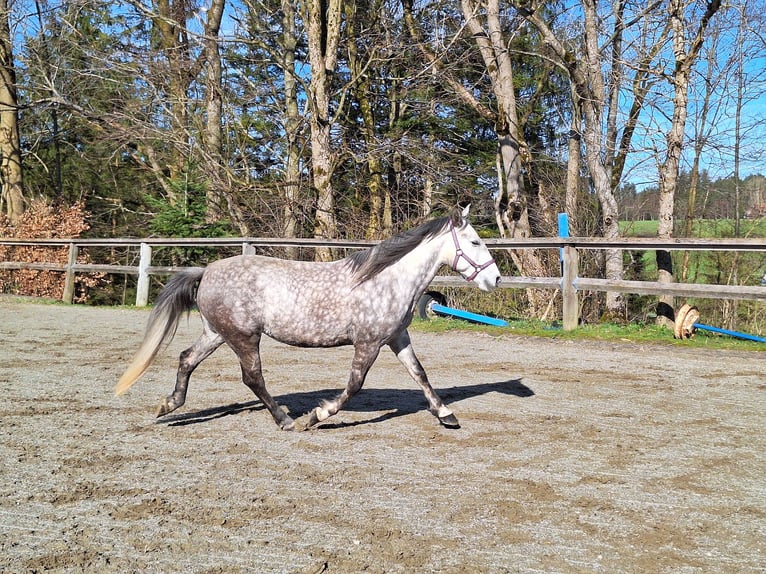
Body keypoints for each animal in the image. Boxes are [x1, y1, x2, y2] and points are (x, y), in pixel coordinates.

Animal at [117, 207, 504, 432]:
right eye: (474, 241)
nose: (496, 279)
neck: (387, 279)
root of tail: (207, 271)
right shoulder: (368, 343)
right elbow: (353, 386)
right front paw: (318, 416)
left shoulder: (397, 338)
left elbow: (420, 374)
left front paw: (446, 415)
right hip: (244, 337)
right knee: (252, 377)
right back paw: (286, 420)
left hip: (218, 333)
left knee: (187, 359)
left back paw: (169, 405)